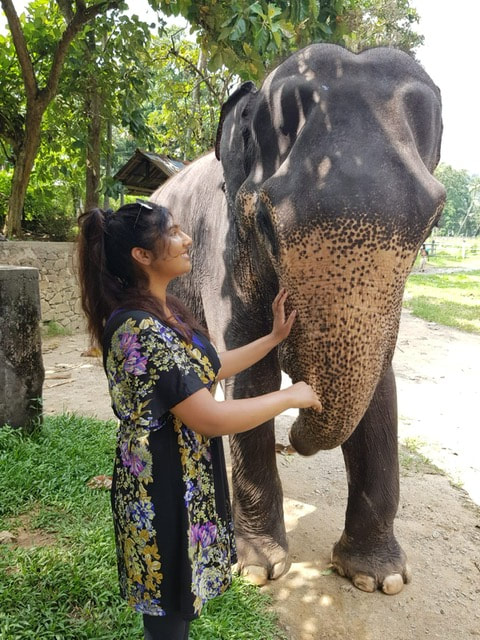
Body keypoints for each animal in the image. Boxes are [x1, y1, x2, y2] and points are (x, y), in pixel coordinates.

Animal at [151, 43, 445, 595]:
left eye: (433, 223)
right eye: (267, 223)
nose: (294, 438)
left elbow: (381, 387)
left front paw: (377, 577)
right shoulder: (224, 248)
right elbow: (250, 370)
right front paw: (258, 569)